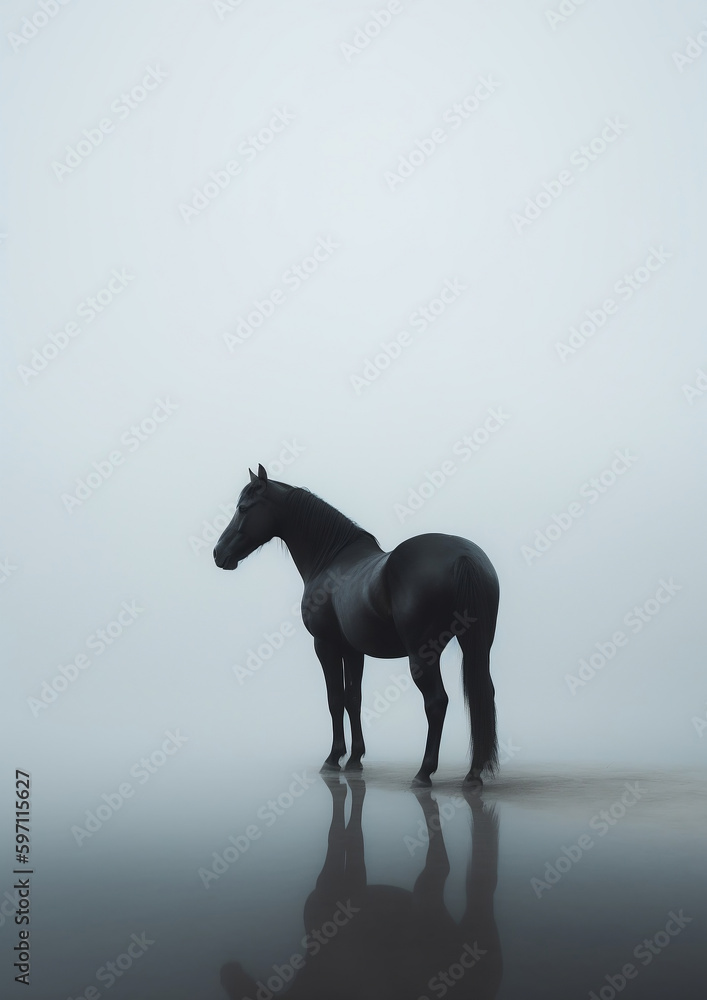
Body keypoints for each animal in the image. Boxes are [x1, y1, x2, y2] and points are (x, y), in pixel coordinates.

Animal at [213, 465, 500, 787]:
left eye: (243, 507)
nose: (218, 553)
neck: (330, 560)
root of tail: (463, 556)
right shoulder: (353, 650)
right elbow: (354, 698)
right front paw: (354, 759)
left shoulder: (325, 644)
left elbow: (335, 699)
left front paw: (332, 758)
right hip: (477, 645)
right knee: (483, 694)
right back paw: (474, 773)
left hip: (423, 654)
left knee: (436, 702)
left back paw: (424, 772)